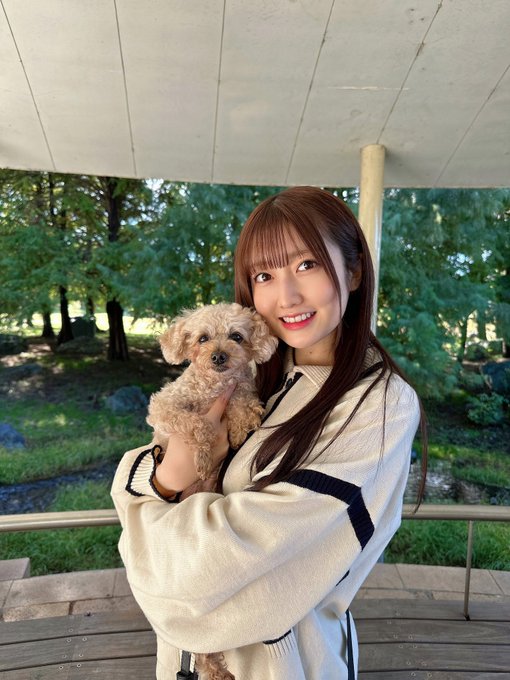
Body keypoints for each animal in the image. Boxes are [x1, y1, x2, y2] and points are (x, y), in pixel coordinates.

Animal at [147, 303, 278, 680]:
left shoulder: (240, 390)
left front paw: (240, 424)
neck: (215, 387)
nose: (219, 356)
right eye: (202, 338)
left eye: (236, 336)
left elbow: (244, 401)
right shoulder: (164, 407)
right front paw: (204, 456)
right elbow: (195, 424)